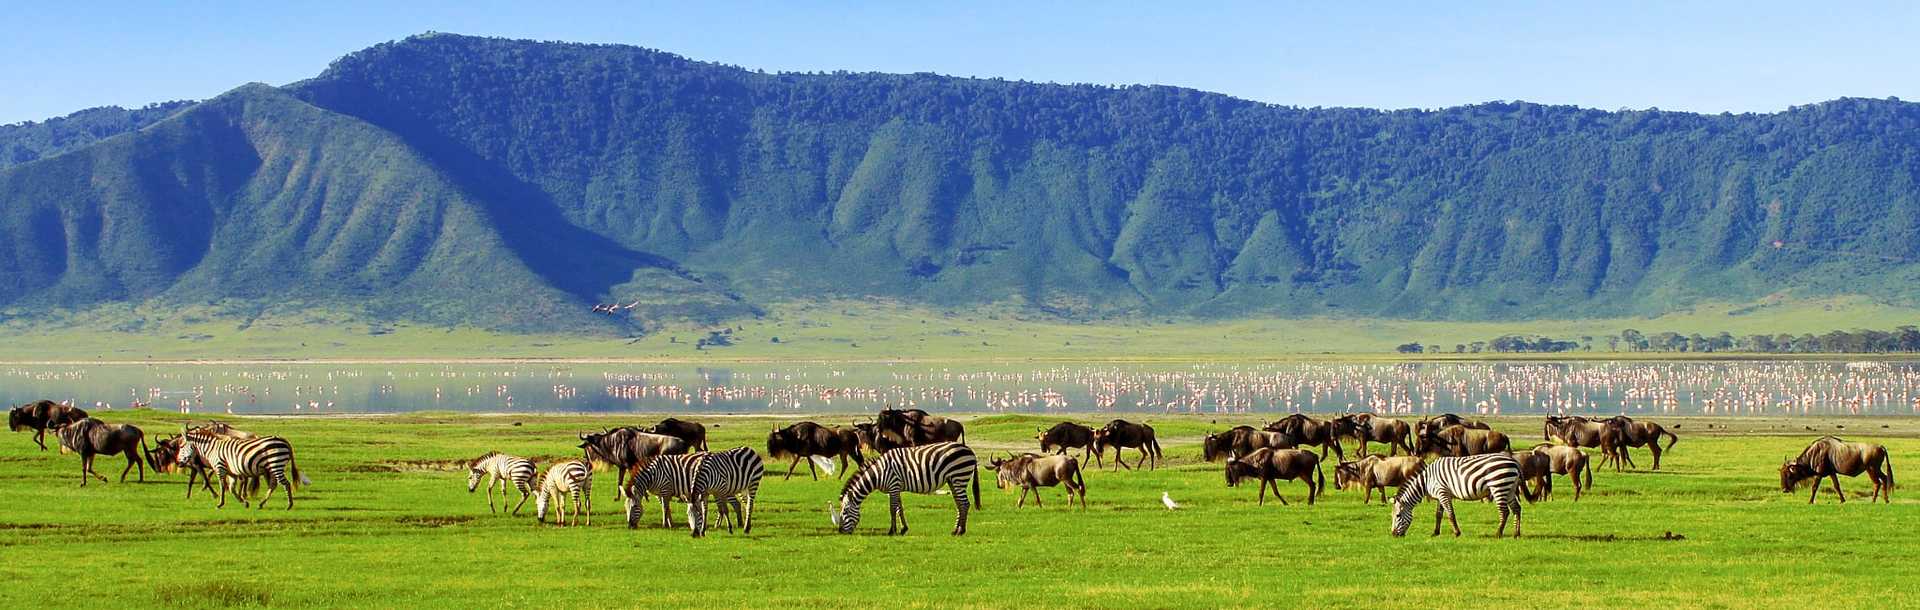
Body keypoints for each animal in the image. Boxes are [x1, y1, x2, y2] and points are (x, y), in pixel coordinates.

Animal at [174, 429, 305, 510]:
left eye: (181, 446)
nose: (178, 462)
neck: (212, 449)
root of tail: (284, 440)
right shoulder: (231, 472)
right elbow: (232, 489)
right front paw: (244, 502)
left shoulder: (220, 468)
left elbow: (222, 486)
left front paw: (220, 504)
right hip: (272, 467)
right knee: (273, 485)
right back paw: (261, 504)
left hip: (276, 464)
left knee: (285, 483)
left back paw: (289, 505)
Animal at [829, 441, 983, 537]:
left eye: (845, 511)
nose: (841, 531)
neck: (879, 473)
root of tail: (970, 450)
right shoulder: (895, 488)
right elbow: (899, 508)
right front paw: (903, 529)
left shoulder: (893, 485)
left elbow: (892, 509)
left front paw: (892, 531)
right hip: (953, 480)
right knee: (959, 504)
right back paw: (955, 529)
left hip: (959, 477)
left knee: (964, 504)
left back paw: (960, 531)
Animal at [1390, 450, 1520, 537]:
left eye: (1398, 516)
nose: (1393, 534)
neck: (1426, 481)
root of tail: (1514, 461)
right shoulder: (1440, 495)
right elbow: (1438, 514)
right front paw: (1435, 533)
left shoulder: (1443, 492)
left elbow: (1450, 514)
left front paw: (1457, 533)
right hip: (1510, 488)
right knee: (1517, 509)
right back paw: (1516, 534)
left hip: (1498, 486)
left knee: (1504, 511)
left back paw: (1498, 534)